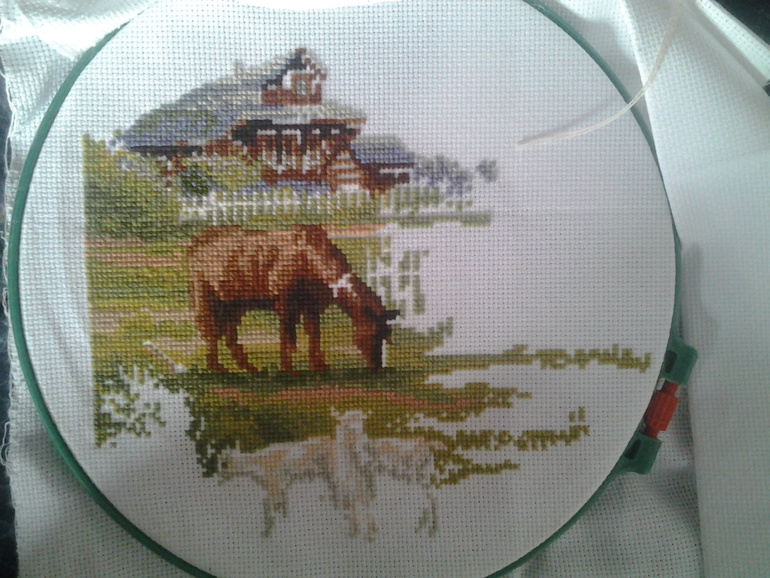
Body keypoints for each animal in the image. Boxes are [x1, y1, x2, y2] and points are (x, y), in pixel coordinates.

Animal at [188, 225, 399, 373]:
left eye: (386, 334)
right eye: (373, 332)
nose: (377, 367)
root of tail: (199, 238)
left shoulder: (312, 304)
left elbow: (314, 334)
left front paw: (319, 367)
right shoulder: (285, 302)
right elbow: (288, 337)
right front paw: (288, 370)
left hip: (234, 302)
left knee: (229, 333)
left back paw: (251, 369)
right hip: (204, 292)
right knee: (210, 328)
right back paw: (217, 369)